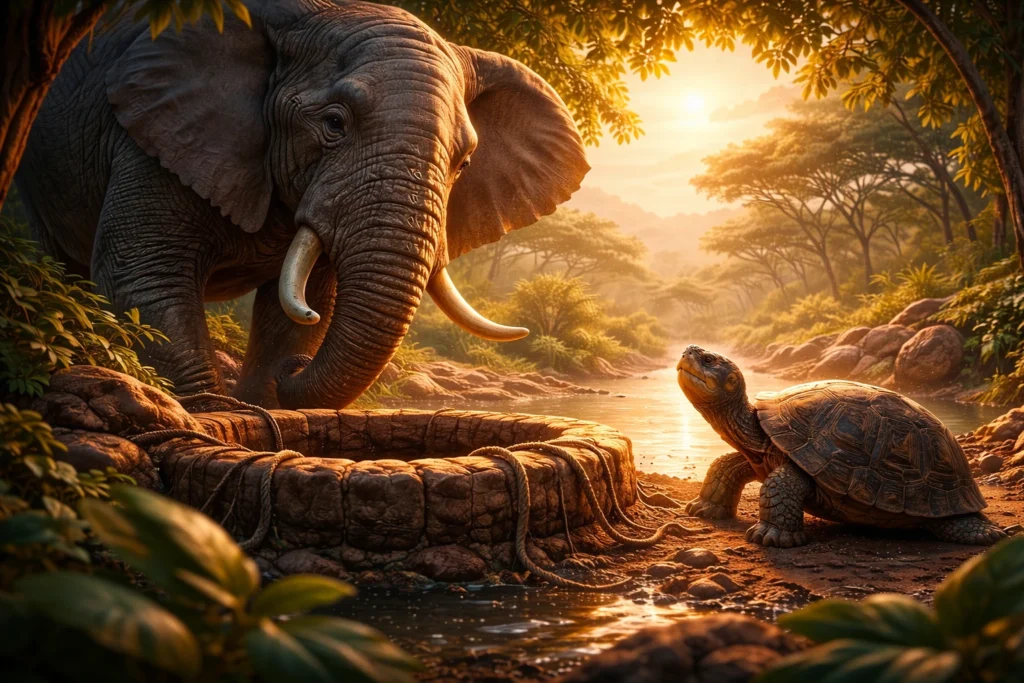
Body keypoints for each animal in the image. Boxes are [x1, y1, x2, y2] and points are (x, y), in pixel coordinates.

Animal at [16, 0, 588, 409]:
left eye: (464, 161)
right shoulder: (157, 133)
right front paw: (215, 411)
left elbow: (303, 304)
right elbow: (146, 274)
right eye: (334, 124)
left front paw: (270, 396)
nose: (292, 372)